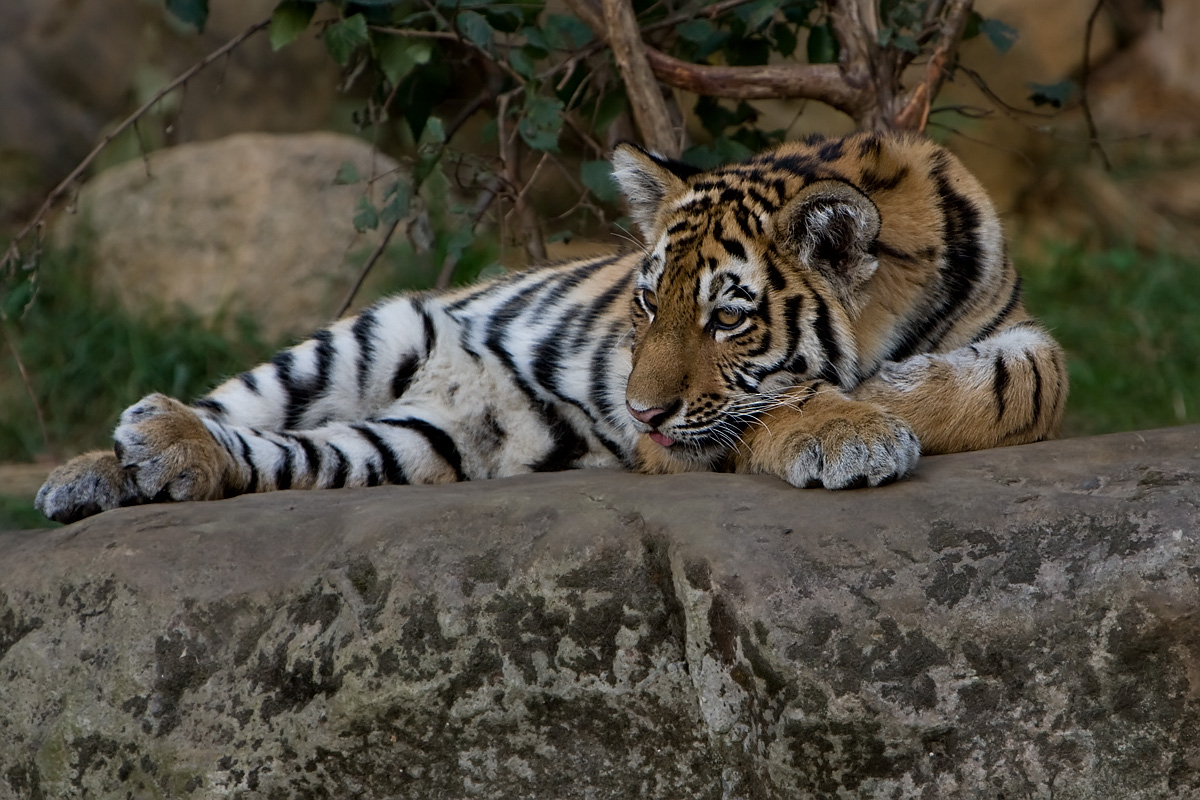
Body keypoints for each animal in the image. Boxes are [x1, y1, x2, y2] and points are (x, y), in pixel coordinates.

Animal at [35, 131, 1070, 525]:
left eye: (726, 317)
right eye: (647, 305)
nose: (638, 412)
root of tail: (452, 386)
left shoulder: (1025, 332)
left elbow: (1019, 384)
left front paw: (886, 399)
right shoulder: (682, 441)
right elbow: (770, 410)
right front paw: (849, 425)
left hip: (423, 444)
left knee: (287, 457)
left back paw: (155, 464)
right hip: (362, 338)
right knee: (231, 408)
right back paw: (116, 457)